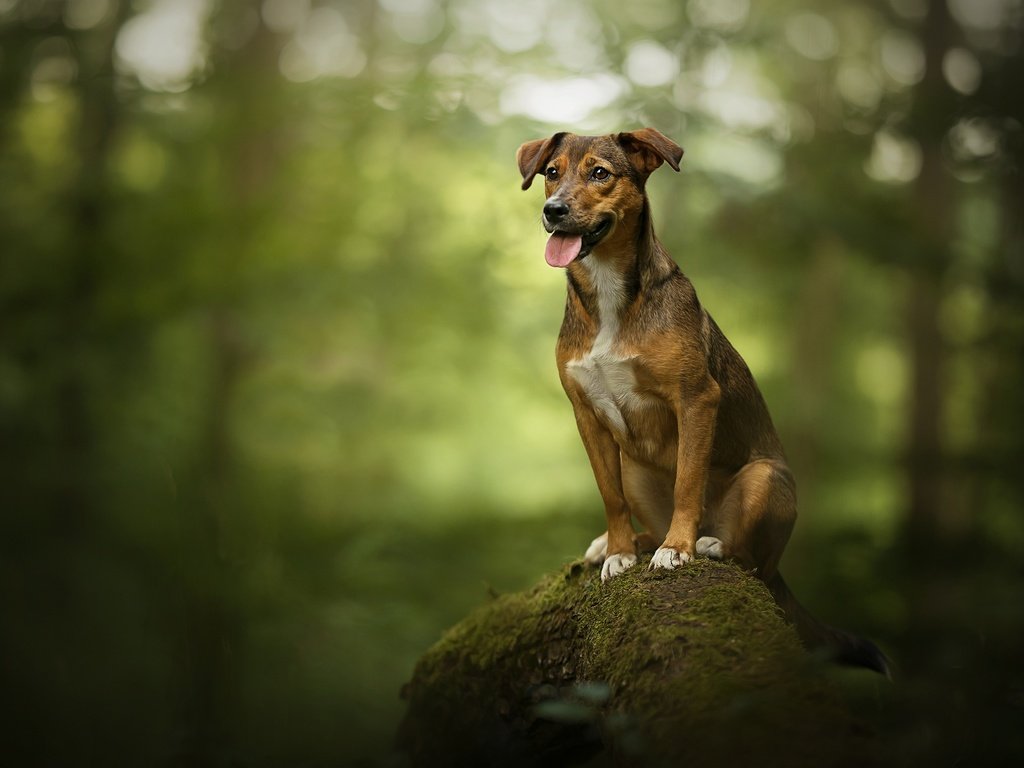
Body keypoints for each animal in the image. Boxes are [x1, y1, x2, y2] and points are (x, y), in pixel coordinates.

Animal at [520, 129, 888, 675]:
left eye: (600, 173)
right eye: (551, 173)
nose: (553, 210)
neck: (609, 293)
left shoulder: (696, 398)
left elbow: (688, 481)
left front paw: (678, 549)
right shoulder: (586, 416)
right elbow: (610, 496)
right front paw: (619, 551)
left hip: (767, 479)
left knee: (751, 562)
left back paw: (708, 543)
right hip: (633, 466)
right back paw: (625, 543)